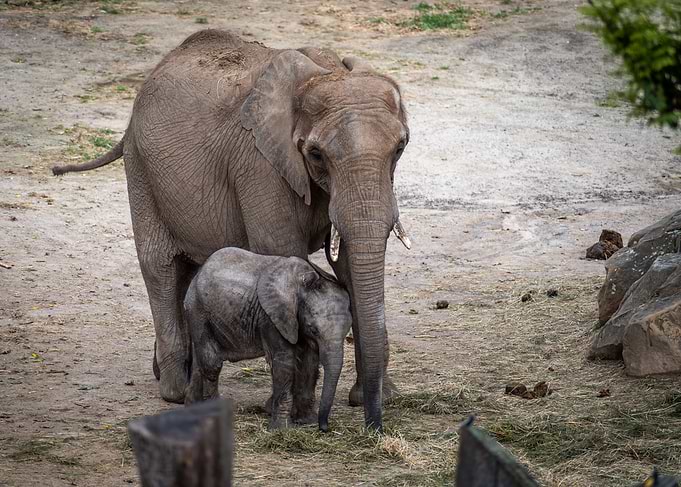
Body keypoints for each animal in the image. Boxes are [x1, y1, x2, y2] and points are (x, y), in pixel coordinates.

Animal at [183, 247, 352, 432]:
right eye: (314, 329)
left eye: (346, 332)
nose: (324, 427)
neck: (301, 283)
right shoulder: (271, 318)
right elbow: (284, 363)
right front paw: (282, 429)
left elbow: (309, 362)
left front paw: (307, 421)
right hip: (198, 311)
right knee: (212, 364)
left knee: (200, 360)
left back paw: (192, 409)